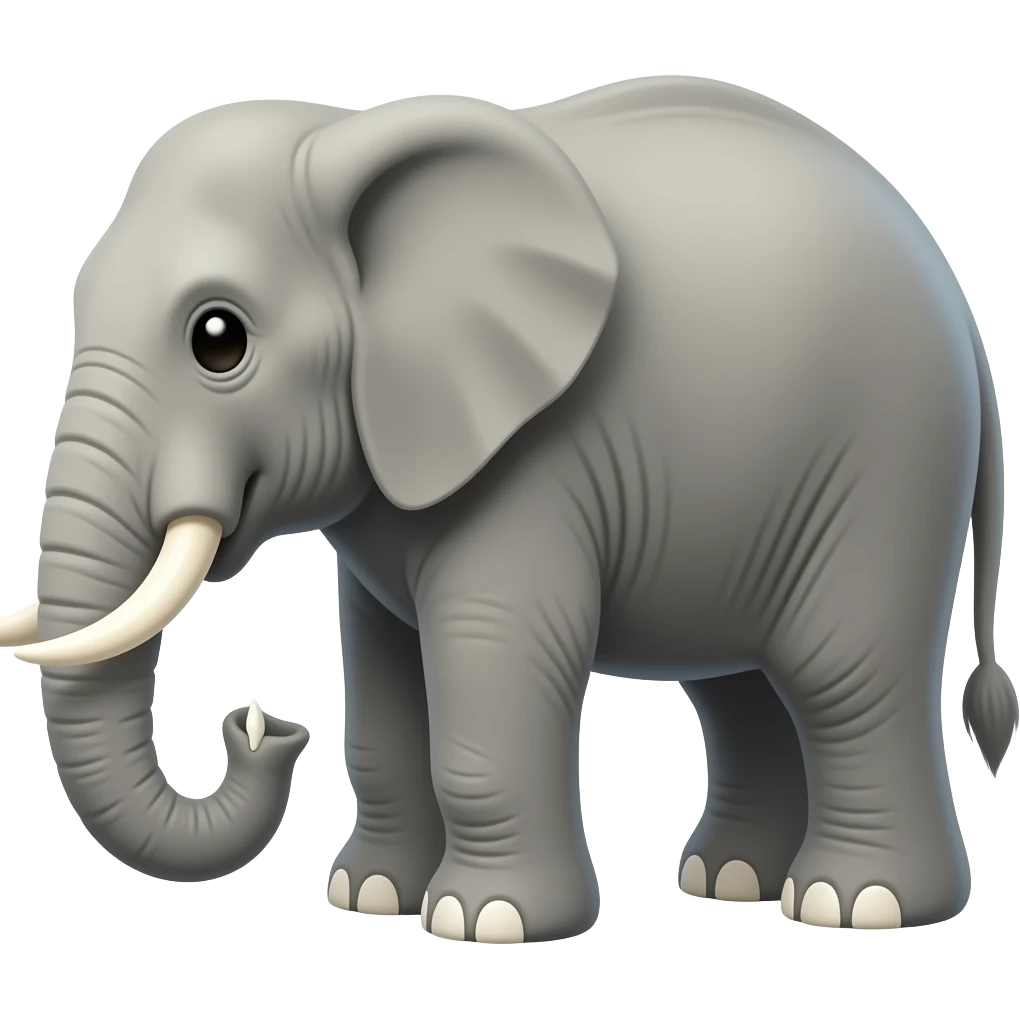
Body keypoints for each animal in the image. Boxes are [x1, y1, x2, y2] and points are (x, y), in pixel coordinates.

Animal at [1, 75, 1014, 943]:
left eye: (219, 338)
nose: (259, 725)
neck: (348, 130)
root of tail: (960, 306)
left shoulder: (535, 466)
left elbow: (495, 656)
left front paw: (483, 922)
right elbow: (381, 679)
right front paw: (368, 896)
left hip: (889, 459)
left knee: (840, 672)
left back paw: (855, 904)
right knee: (742, 688)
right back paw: (727, 881)